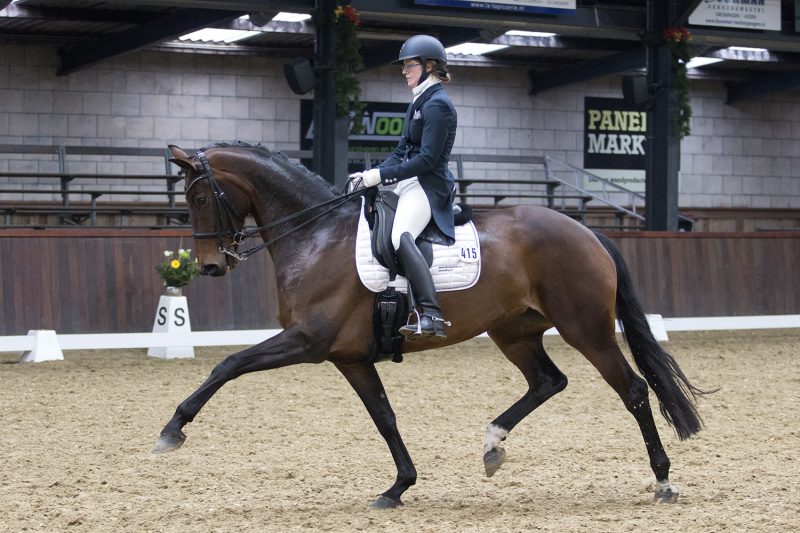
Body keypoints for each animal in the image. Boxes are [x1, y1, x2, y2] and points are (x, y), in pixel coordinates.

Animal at [156, 141, 708, 508]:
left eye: (200, 198)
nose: (210, 267)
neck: (316, 234)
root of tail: (587, 232)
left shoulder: (308, 341)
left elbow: (228, 364)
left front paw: (172, 429)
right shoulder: (349, 357)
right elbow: (384, 417)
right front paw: (399, 486)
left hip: (585, 329)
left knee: (633, 390)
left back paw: (663, 481)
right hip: (514, 331)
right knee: (549, 381)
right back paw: (492, 446)